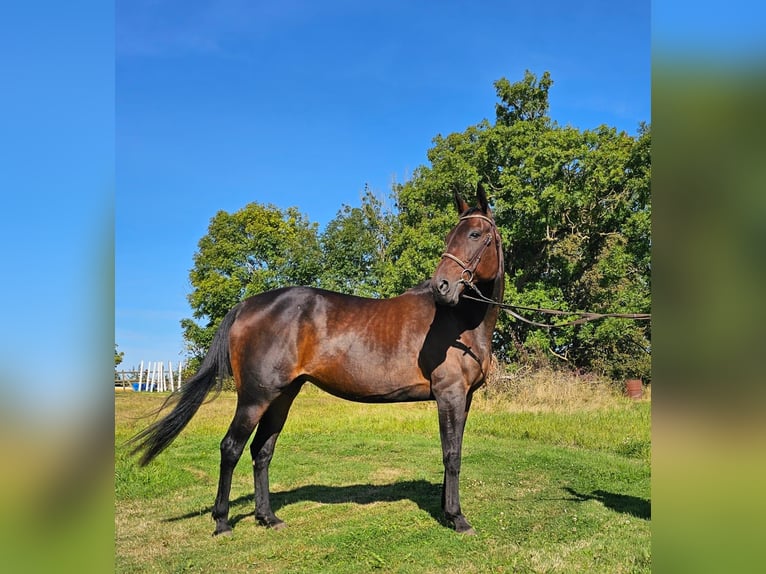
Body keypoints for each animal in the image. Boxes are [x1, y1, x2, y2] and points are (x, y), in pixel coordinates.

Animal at [130, 186, 508, 540]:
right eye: (453, 236)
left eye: (475, 234)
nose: (442, 286)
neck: (459, 322)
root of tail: (246, 305)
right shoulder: (449, 394)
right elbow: (451, 454)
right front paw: (457, 518)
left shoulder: (463, 398)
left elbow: (453, 451)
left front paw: (448, 510)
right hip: (254, 398)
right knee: (231, 448)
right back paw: (222, 522)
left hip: (281, 396)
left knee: (261, 450)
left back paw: (268, 517)